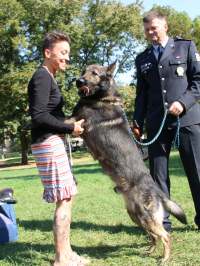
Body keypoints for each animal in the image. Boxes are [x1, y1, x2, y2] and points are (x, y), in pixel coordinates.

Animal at [23, 60, 186, 264]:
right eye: (83, 71)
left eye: (94, 74)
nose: (78, 81)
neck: (100, 98)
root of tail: (156, 189)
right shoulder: (74, 120)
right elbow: (56, 117)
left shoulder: (76, 122)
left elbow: (55, 117)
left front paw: (31, 122)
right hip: (136, 216)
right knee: (154, 235)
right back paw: (149, 251)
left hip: (146, 217)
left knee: (166, 235)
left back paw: (164, 259)